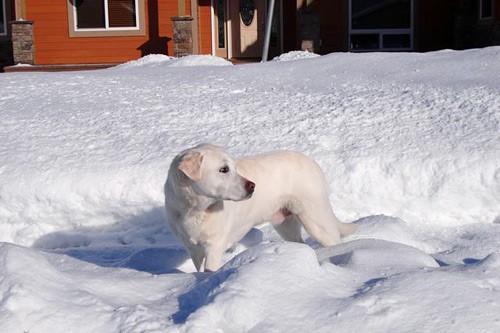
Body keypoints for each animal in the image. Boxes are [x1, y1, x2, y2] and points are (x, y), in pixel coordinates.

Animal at [164, 144, 356, 272]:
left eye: (234, 167)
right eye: (224, 169)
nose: (252, 185)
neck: (194, 209)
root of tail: (314, 164)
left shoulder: (214, 246)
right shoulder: (193, 249)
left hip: (316, 220)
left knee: (337, 243)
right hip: (286, 225)